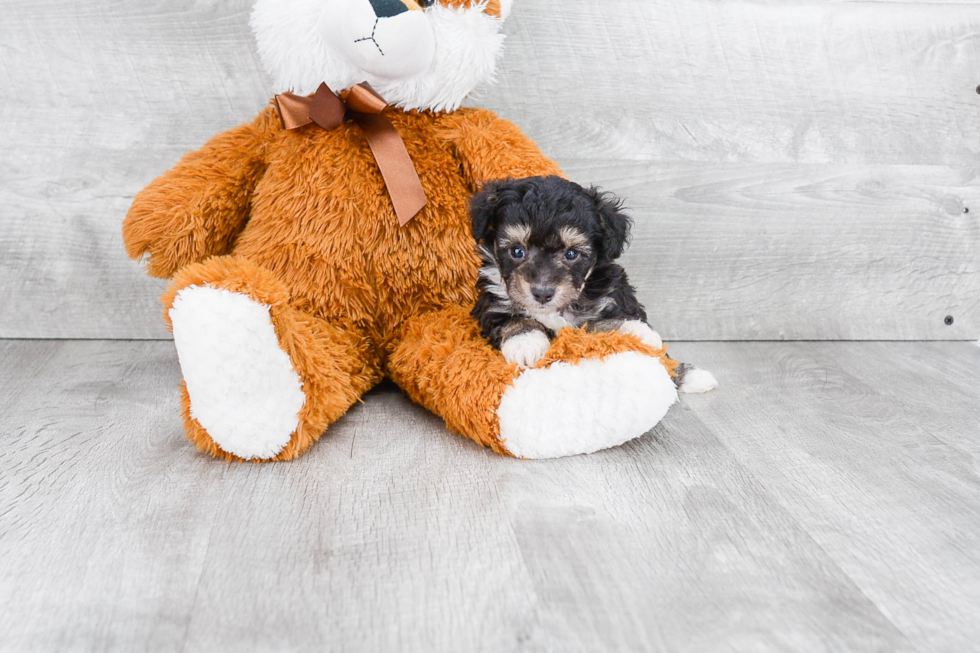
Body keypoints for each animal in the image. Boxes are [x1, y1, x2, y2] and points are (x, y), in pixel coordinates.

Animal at [470, 174, 716, 392]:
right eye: (517, 251)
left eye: (571, 254)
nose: (542, 293)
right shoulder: (490, 302)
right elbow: (510, 317)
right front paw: (526, 342)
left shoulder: (612, 292)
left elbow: (617, 319)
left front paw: (642, 333)